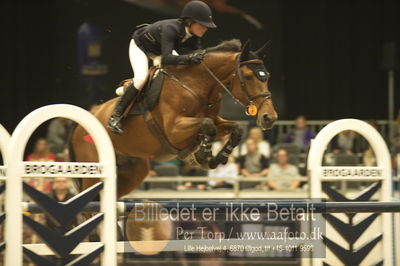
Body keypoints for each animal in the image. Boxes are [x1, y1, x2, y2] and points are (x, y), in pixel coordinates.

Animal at [71, 39, 278, 197]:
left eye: (267, 76)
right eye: (248, 76)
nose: (269, 117)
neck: (195, 85)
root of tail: (81, 122)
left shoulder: (215, 121)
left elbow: (235, 128)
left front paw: (217, 157)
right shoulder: (174, 130)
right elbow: (207, 125)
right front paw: (203, 155)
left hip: (132, 173)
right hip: (92, 173)